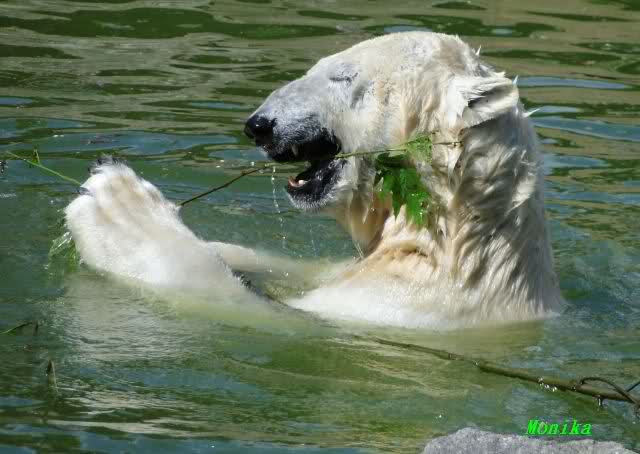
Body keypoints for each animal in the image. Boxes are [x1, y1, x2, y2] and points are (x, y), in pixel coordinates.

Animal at [64, 31, 563, 329]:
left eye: (342, 76)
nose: (259, 125)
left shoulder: (400, 306)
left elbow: (270, 316)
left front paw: (119, 208)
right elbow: (296, 272)